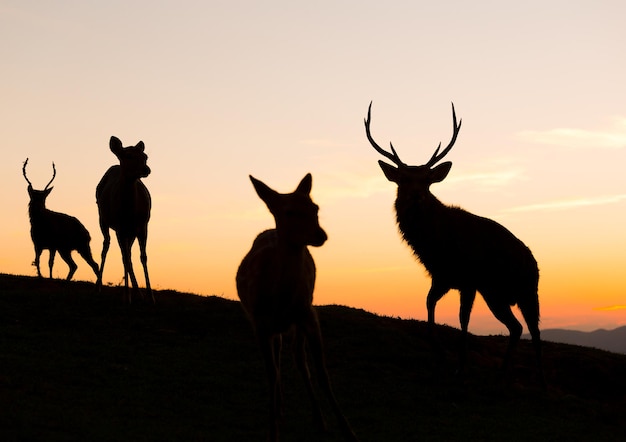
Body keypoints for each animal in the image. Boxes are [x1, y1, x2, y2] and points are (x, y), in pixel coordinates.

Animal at [95, 136, 154, 304]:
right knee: (107, 247)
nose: (146, 170)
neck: (130, 211)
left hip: (129, 232)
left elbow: (143, 257)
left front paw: (150, 296)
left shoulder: (143, 225)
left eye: (145, 156)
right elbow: (125, 258)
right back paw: (99, 288)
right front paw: (127, 296)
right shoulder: (120, 227)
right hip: (103, 219)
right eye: (128, 156)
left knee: (127, 254)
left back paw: (138, 293)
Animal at [236, 174, 358, 442]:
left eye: (315, 208)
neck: (280, 298)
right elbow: (271, 374)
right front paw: (273, 432)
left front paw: (348, 430)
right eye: (289, 211)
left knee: (299, 358)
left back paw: (319, 419)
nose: (320, 235)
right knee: (280, 359)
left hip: (298, 318)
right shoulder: (259, 323)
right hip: (270, 326)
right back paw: (281, 410)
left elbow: (322, 373)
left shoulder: (308, 313)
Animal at [364, 102, 540, 382]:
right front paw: (439, 355)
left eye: (427, 180)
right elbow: (428, 305)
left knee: (534, 333)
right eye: (403, 179)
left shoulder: (468, 280)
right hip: (496, 294)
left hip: (526, 290)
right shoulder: (442, 278)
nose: (416, 195)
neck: (438, 246)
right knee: (515, 327)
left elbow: (463, 320)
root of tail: (533, 262)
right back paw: (502, 372)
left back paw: (541, 379)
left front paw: (461, 365)